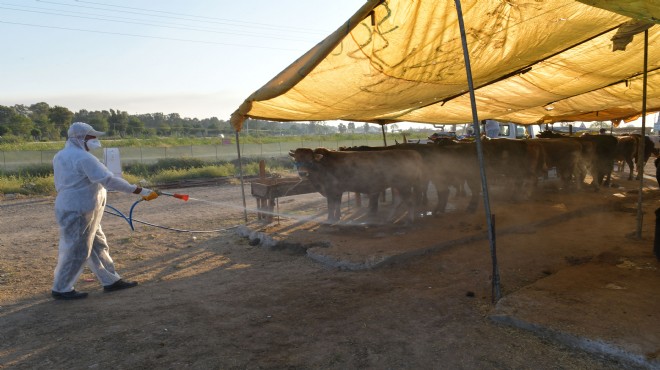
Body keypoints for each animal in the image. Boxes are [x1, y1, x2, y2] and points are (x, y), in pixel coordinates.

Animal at [288, 148, 422, 224]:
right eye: (296, 159)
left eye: (310, 160)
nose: (302, 173)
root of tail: (412, 152)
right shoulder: (338, 190)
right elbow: (337, 204)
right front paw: (338, 217)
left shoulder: (330, 189)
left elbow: (331, 205)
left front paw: (330, 219)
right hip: (397, 185)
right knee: (398, 201)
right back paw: (389, 219)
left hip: (403, 185)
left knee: (409, 201)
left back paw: (410, 220)